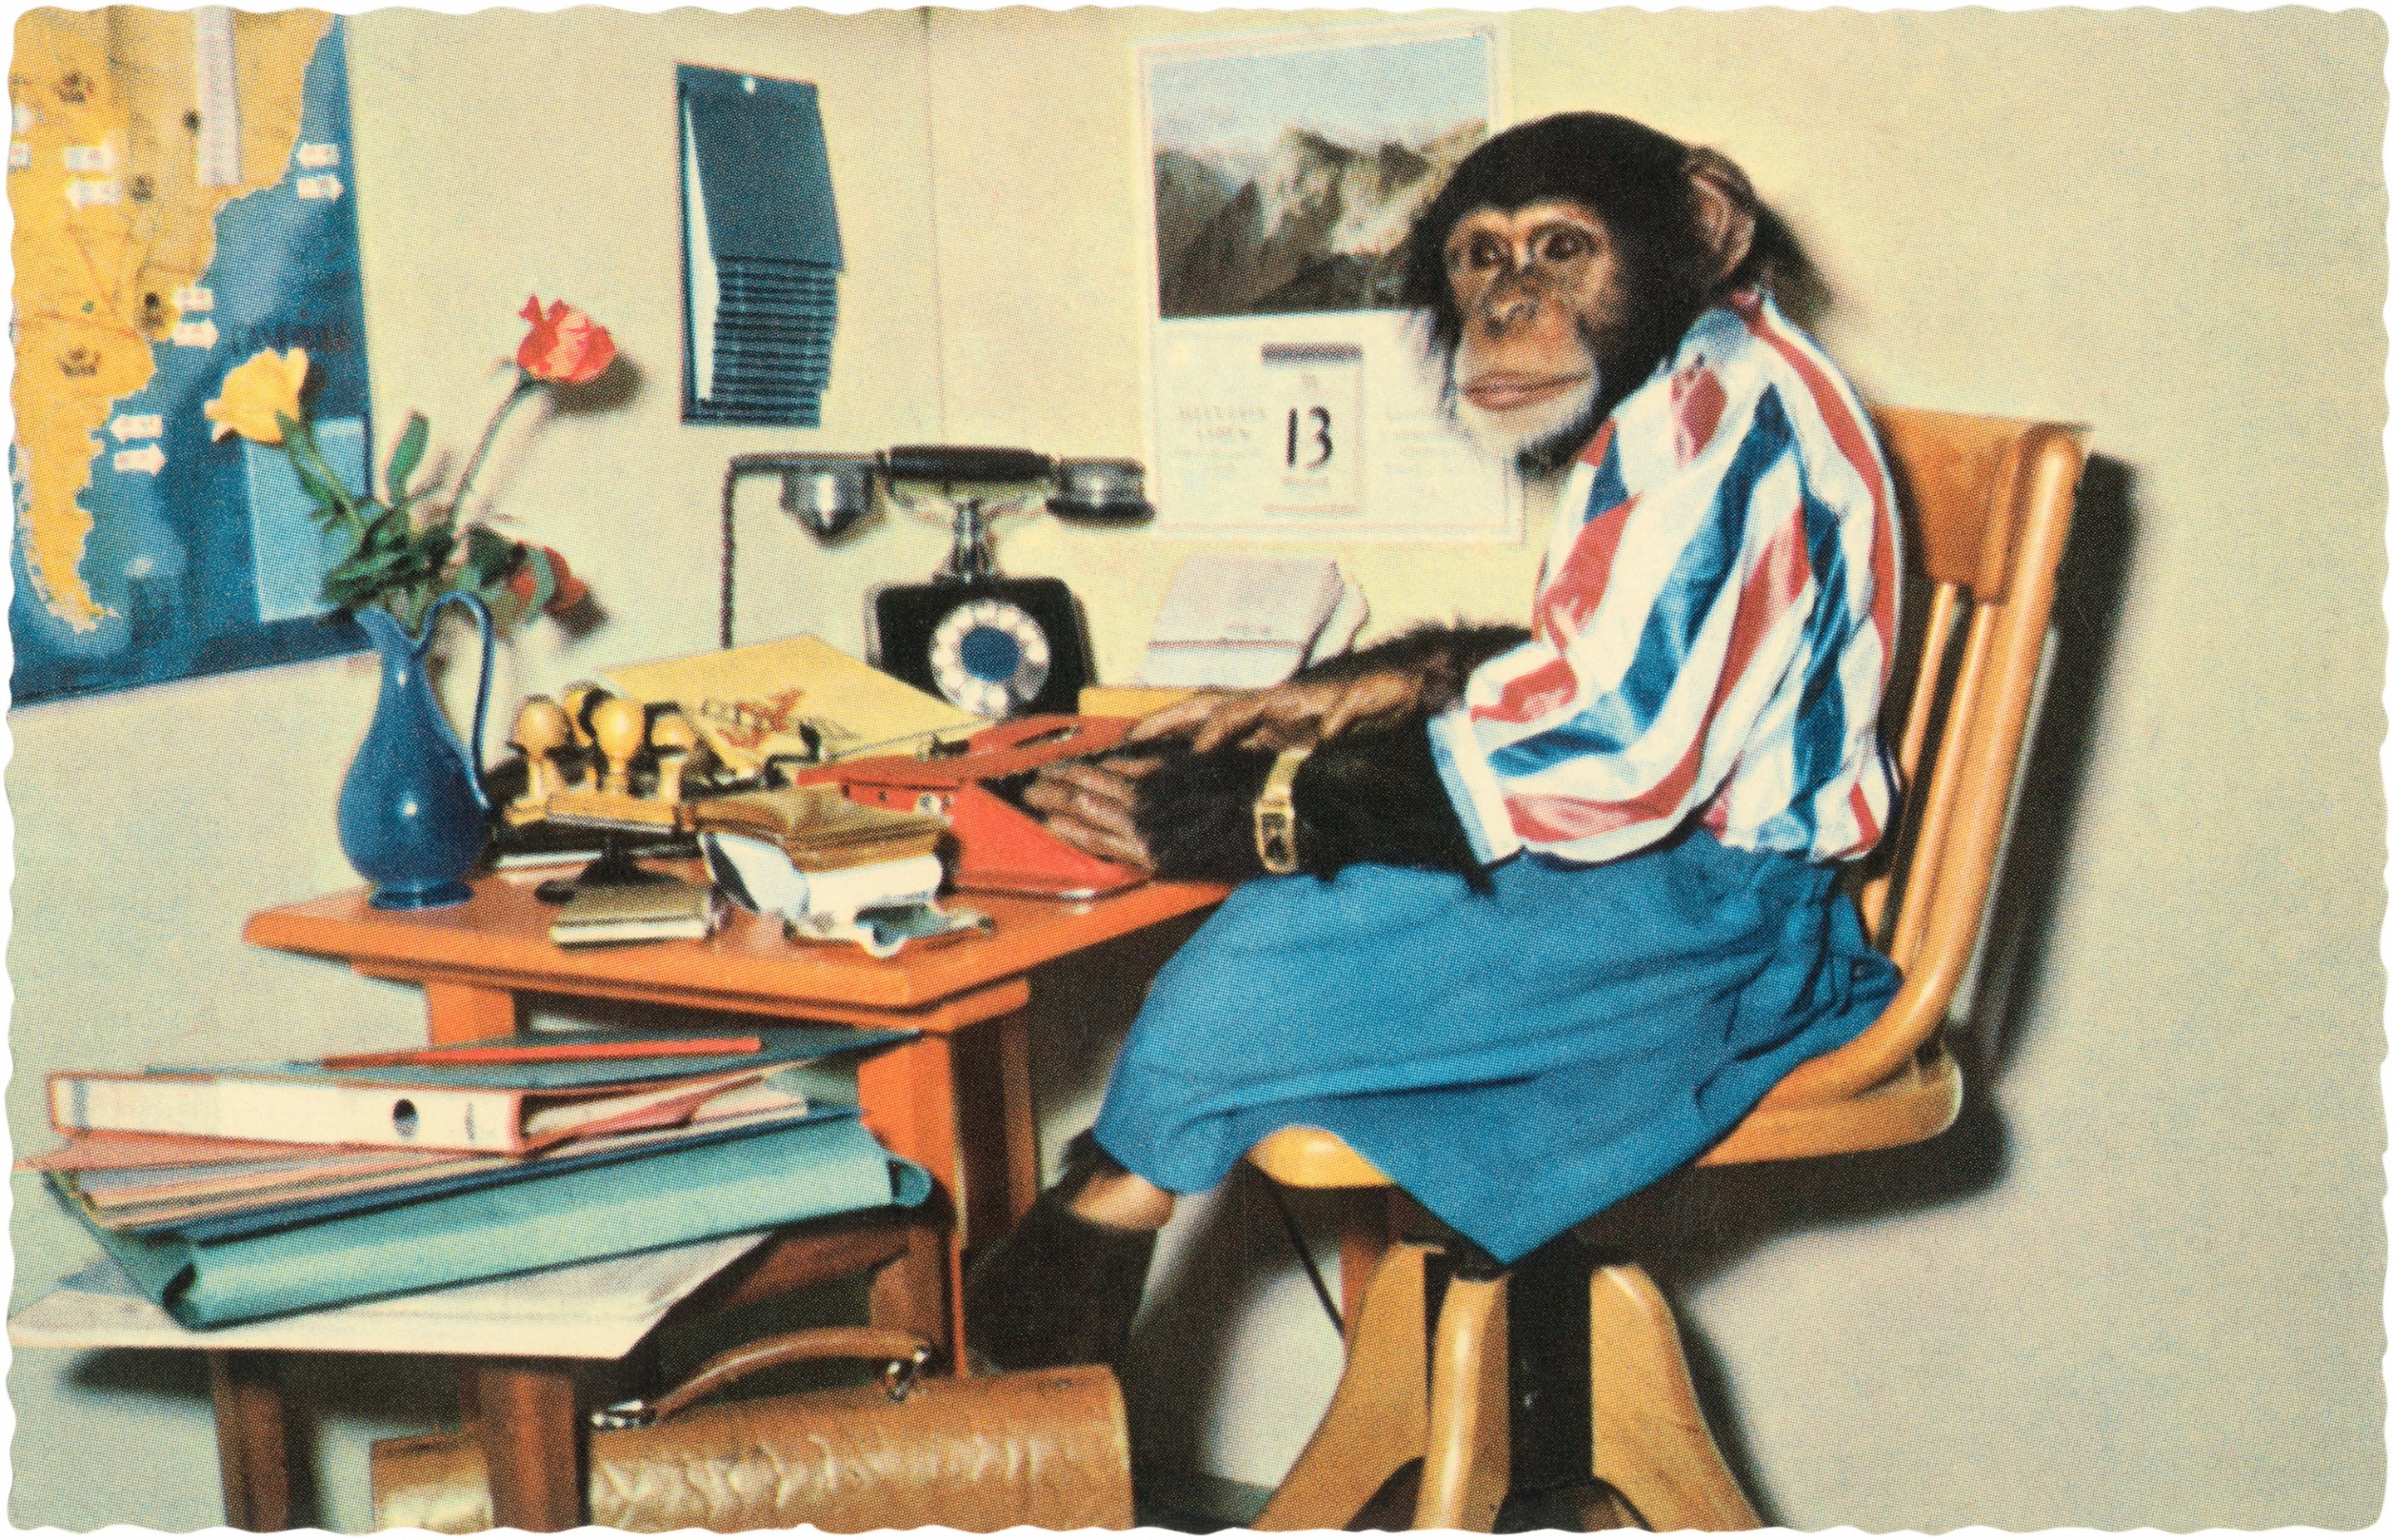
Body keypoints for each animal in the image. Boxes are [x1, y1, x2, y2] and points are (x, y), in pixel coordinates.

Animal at [966, 114, 1904, 1377]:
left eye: (1561, 247)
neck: (1678, 341)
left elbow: (1605, 727)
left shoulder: (1703, 461)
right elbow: (1526, 659)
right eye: (1480, 256)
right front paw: (1309, 698)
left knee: (1252, 982)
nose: (1508, 306)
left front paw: (1194, 805)